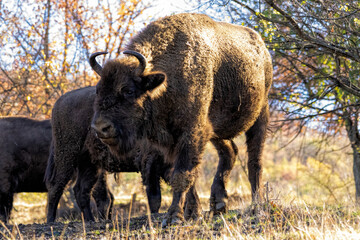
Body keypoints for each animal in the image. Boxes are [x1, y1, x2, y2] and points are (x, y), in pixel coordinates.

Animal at [90, 12, 272, 227]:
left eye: (128, 90)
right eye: (98, 89)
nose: (101, 128)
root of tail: (263, 49)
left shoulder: (191, 133)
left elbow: (181, 174)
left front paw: (173, 217)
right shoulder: (174, 140)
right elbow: (188, 176)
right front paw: (192, 213)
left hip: (260, 114)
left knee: (255, 160)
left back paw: (257, 205)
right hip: (215, 130)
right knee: (230, 152)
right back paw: (218, 204)